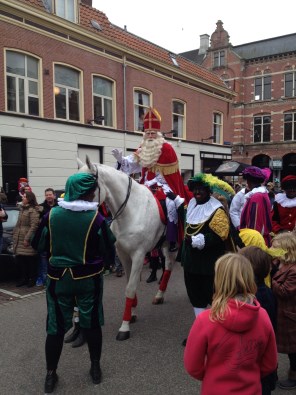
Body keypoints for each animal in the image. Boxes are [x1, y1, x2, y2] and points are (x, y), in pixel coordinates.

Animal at [77, 156, 177, 342]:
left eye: (85, 187)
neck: (130, 211)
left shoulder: (138, 255)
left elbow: (130, 288)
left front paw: (124, 327)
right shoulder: (123, 255)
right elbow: (129, 284)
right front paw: (132, 314)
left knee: (169, 265)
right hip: (164, 245)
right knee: (167, 266)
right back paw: (159, 296)